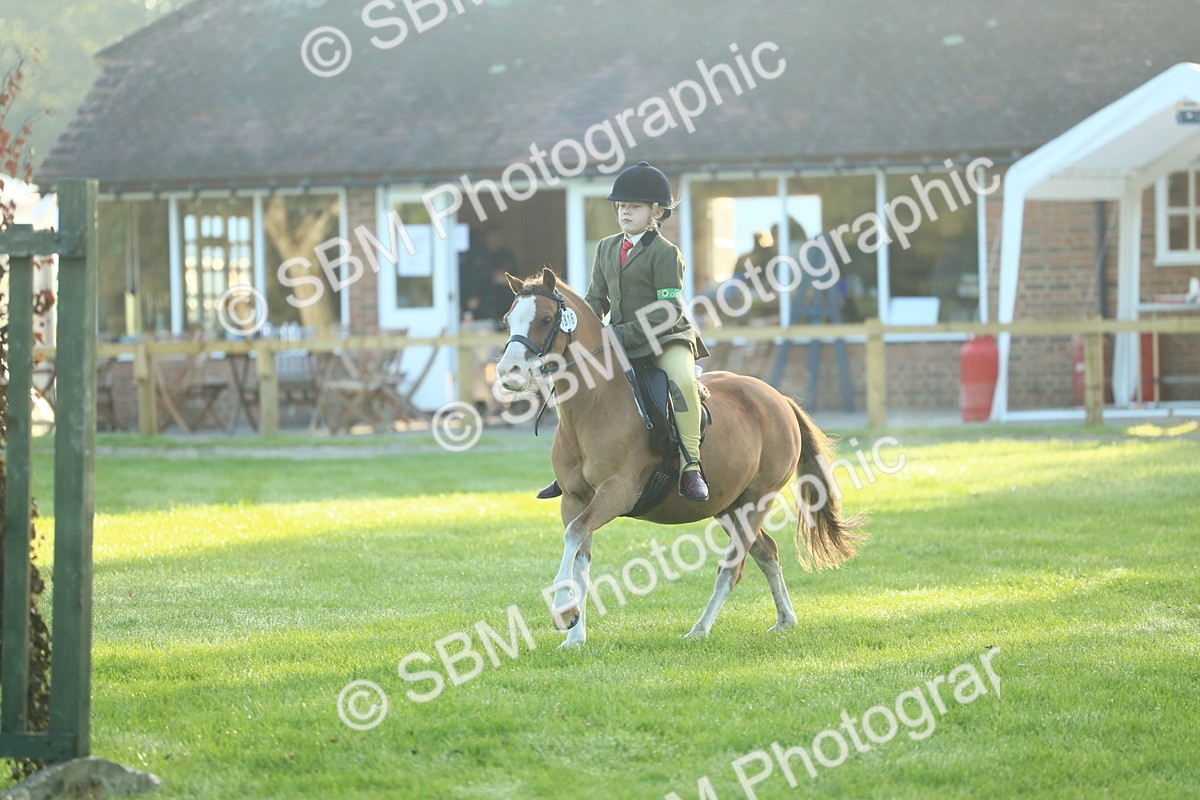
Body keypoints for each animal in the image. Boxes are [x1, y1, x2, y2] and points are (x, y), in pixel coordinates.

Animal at [496, 268, 866, 649]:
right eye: (508, 320)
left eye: (544, 319)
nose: (509, 372)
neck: (594, 405)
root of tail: (778, 399)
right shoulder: (574, 498)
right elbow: (580, 555)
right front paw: (574, 634)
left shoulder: (617, 492)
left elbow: (574, 534)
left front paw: (563, 611)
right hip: (728, 505)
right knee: (766, 551)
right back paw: (785, 619)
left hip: (757, 499)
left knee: (733, 566)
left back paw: (700, 629)